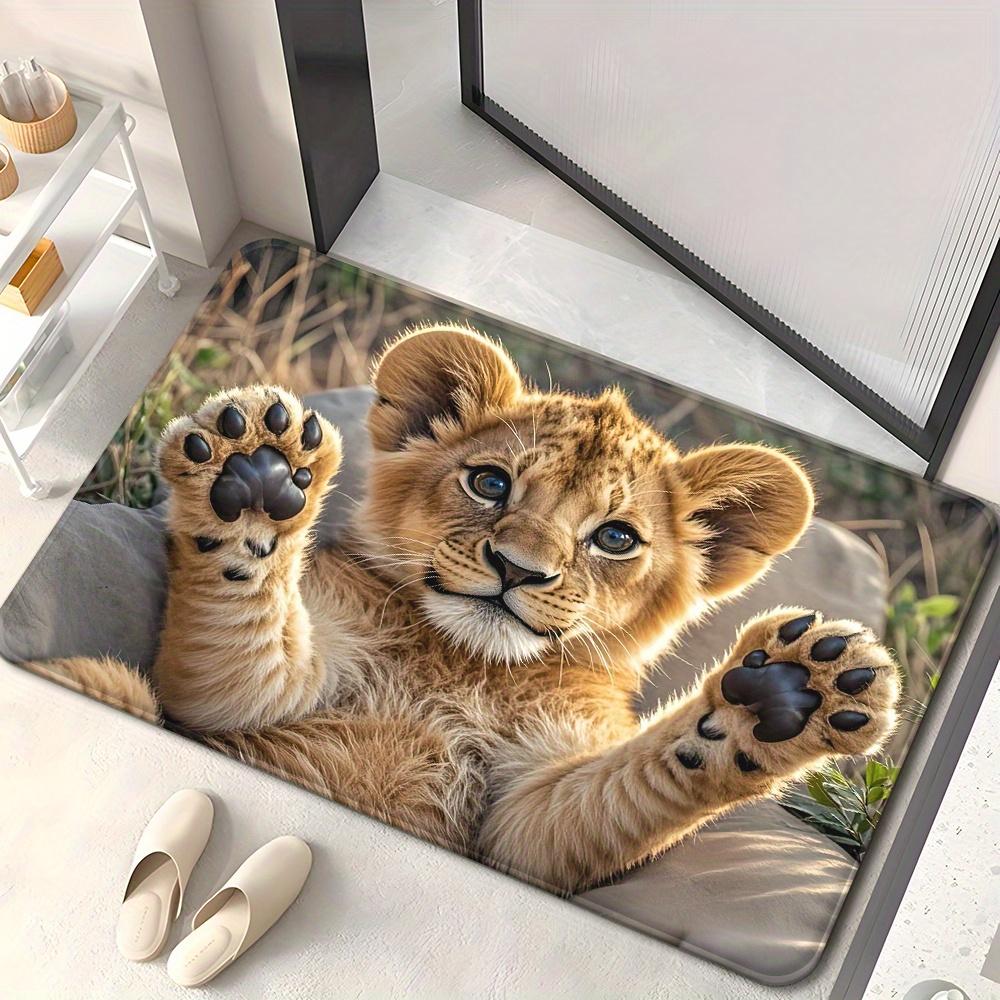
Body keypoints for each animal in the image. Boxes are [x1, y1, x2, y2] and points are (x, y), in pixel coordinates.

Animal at [30, 325, 900, 894]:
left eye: (615, 537)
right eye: (490, 483)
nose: (518, 569)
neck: (466, 667)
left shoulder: (525, 825)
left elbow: (627, 783)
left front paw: (785, 693)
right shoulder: (238, 696)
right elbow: (235, 641)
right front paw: (254, 474)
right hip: (121, 690)